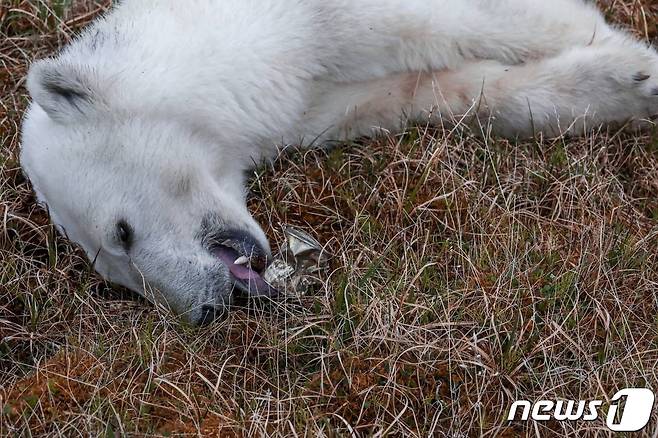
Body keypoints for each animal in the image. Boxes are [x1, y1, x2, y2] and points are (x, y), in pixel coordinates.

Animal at [19, 0, 656, 322]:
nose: (207, 309)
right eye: (119, 278)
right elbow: (435, 89)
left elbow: (486, 22)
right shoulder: (316, 99)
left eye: (120, 233)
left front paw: (633, 63)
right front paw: (619, 85)